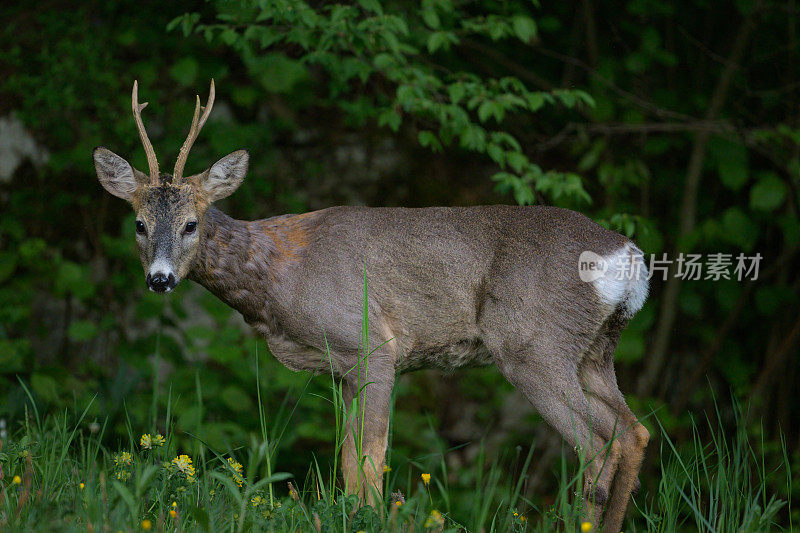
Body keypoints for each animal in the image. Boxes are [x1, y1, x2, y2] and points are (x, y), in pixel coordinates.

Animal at [94, 80, 648, 532]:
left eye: (191, 223)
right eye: (139, 224)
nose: (160, 279)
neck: (275, 277)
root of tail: (628, 256)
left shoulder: (374, 346)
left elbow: (369, 461)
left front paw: (368, 518)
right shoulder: (340, 368)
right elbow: (347, 460)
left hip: (533, 346)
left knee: (597, 445)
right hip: (594, 352)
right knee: (632, 432)